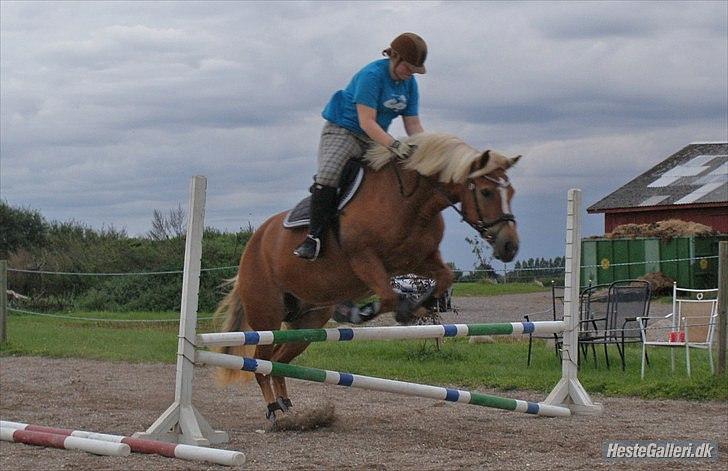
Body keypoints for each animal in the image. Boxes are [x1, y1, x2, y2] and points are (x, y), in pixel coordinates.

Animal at [213, 131, 520, 422]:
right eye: (486, 192)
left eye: (511, 192)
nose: (510, 247)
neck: (410, 201)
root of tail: (252, 246)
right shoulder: (363, 259)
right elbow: (387, 296)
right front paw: (363, 311)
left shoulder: (418, 260)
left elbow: (444, 277)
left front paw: (419, 305)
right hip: (267, 315)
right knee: (261, 364)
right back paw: (275, 410)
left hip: (307, 322)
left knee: (278, 362)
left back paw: (290, 410)